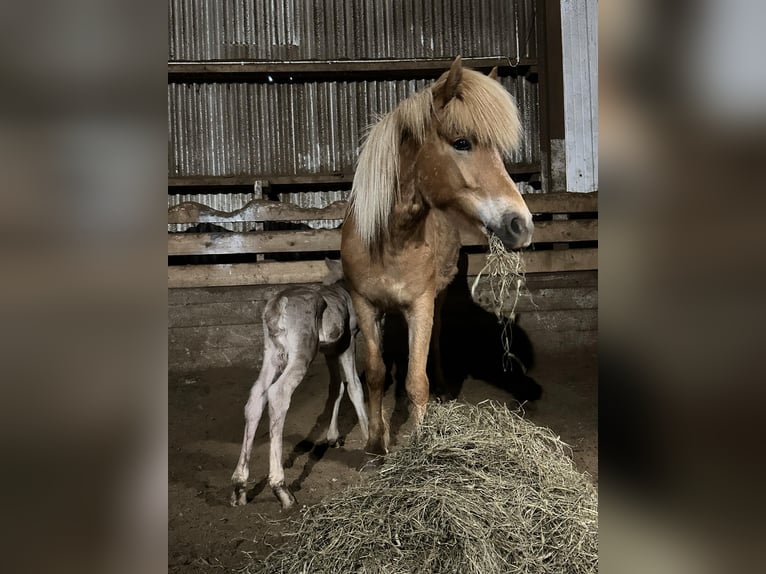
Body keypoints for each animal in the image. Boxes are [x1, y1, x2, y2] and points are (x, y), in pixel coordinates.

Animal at [231, 260, 368, 508]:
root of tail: (278, 305)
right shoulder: (348, 341)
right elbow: (354, 386)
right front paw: (371, 442)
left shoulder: (330, 350)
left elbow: (336, 387)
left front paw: (333, 437)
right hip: (302, 352)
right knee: (278, 394)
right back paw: (282, 490)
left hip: (273, 353)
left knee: (256, 397)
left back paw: (239, 488)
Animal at [342, 56, 536, 456]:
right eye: (462, 142)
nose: (521, 224)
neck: (391, 240)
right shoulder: (365, 305)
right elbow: (375, 374)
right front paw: (375, 441)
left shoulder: (421, 304)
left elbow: (416, 381)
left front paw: (419, 444)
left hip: (438, 300)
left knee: (434, 344)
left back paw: (444, 387)